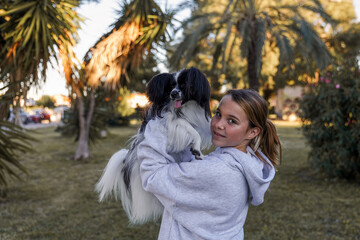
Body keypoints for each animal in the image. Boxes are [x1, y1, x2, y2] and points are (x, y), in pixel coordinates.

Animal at [97, 67, 212, 225]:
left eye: (184, 85)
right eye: (170, 86)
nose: (173, 94)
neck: (184, 108)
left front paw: (196, 150)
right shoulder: (173, 120)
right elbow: (191, 130)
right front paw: (196, 149)